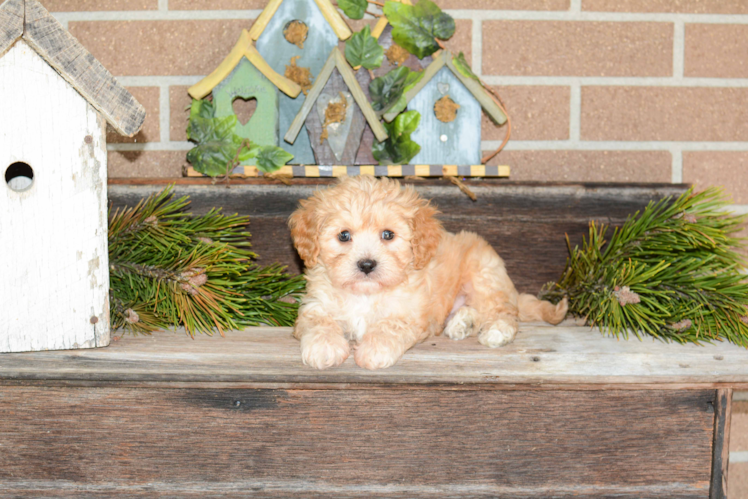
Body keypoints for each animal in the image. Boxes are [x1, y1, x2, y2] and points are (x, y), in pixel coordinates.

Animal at [288, 174, 568, 370]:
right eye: (343, 236)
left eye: (388, 235)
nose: (366, 265)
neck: (365, 293)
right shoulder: (315, 304)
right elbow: (319, 322)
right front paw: (324, 348)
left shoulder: (408, 312)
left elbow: (389, 325)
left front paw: (374, 350)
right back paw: (462, 323)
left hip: (483, 275)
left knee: (504, 312)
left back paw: (495, 331)